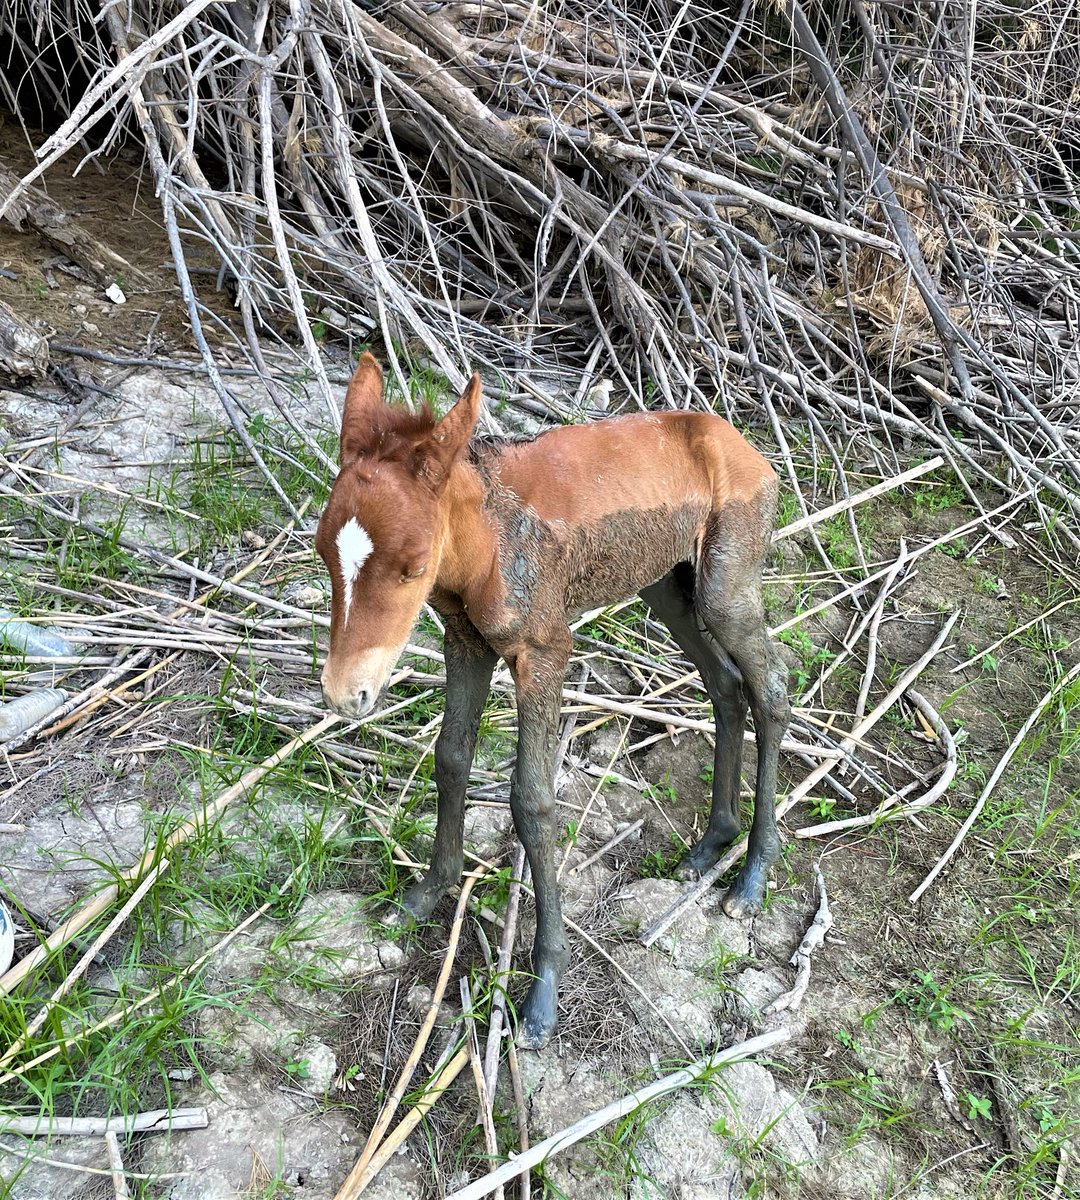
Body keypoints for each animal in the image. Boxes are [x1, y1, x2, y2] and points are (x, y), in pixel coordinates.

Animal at [315, 354, 790, 1049]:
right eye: (323, 550)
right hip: (665, 586)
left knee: (771, 691)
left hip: (725, 588)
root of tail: (745, 447)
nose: (345, 693)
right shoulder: (466, 642)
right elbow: (450, 757)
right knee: (725, 687)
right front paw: (427, 894)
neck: (486, 545)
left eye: (413, 566)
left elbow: (532, 801)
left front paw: (542, 993)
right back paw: (712, 842)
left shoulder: (545, 653)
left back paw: (752, 875)